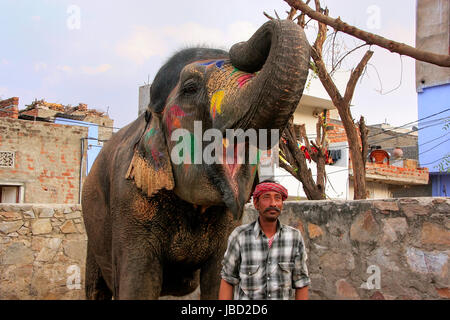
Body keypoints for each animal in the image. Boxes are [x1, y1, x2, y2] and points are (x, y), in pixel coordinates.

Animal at [81, 19, 310, 300]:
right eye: (190, 88)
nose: (239, 46)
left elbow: (219, 281)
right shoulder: (130, 201)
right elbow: (138, 285)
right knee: (95, 286)